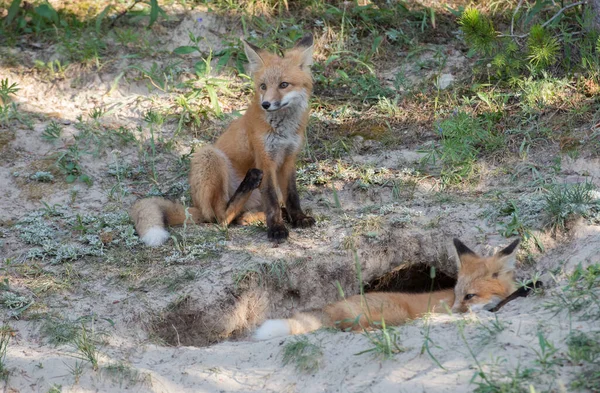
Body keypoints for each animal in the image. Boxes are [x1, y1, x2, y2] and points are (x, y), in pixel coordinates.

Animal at [129, 34, 316, 245]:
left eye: (284, 85)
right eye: (263, 86)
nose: (266, 104)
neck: (283, 130)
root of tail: (197, 206)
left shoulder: (289, 158)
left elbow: (292, 195)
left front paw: (298, 218)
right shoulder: (265, 159)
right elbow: (272, 201)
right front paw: (276, 228)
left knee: (240, 217)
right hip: (210, 155)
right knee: (221, 218)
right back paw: (249, 186)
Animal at [253, 237, 520, 338]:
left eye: (469, 296)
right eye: (457, 295)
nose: (450, 313)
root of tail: (329, 307)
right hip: (393, 313)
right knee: (352, 329)